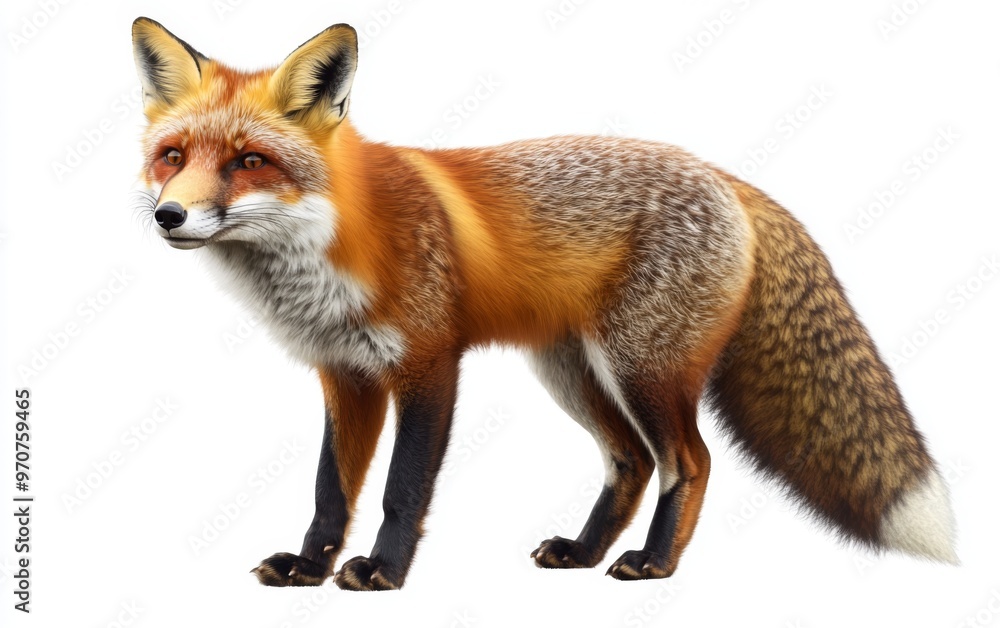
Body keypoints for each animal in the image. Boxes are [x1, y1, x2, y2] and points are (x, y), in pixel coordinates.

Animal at [131, 18, 957, 590]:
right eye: (172, 157)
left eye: (249, 161)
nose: (168, 216)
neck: (329, 251)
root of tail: (724, 175)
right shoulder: (347, 376)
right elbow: (330, 492)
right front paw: (310, 569)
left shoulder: (429, 364)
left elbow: (401, 489)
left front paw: (382, 574)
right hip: (572, 374)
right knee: (631, 462)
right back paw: (584, 553)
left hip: (643, 368)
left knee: (688, 461)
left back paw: (653, 563)